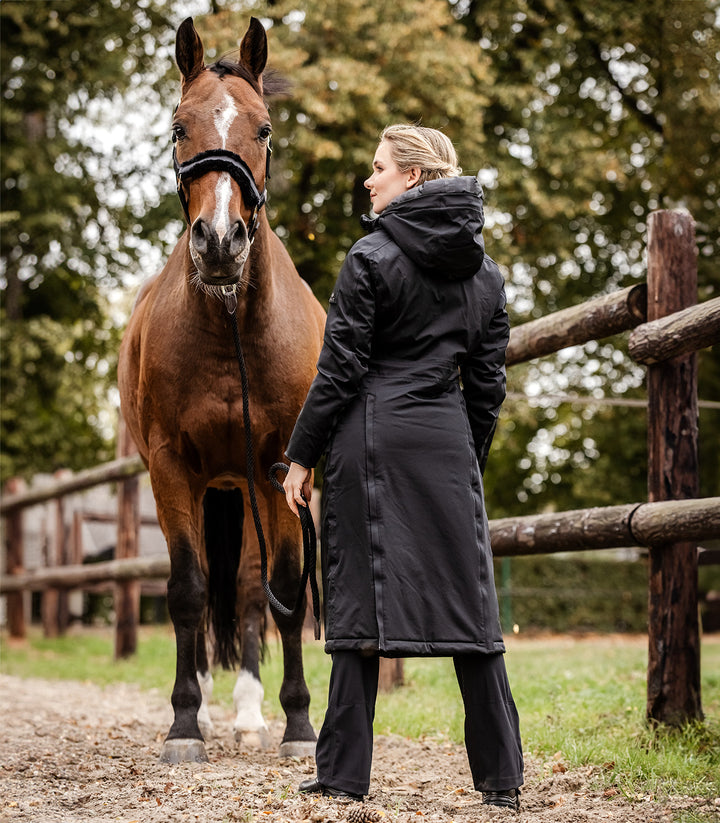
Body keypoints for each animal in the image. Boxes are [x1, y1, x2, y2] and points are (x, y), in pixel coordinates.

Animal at [119, 16, 326, 768]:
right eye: (180, 126)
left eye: (262, 129)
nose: (218, 240)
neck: (231, 324)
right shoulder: (172, 469)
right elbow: (186, 589)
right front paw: (185, 721)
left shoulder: (281, 470)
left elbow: (282, 592)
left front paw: (298, 724)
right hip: (212, 489)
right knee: (210, 588)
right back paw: (210, 708)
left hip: (249, 489)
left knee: (247, 595)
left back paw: (249, 713)